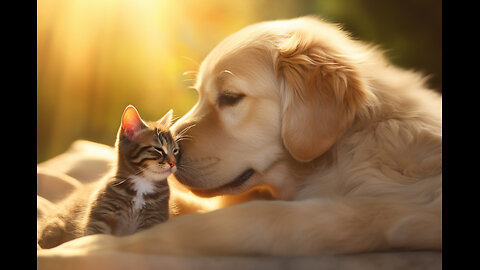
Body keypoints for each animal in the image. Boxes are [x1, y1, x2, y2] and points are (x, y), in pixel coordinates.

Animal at [38, 105, 181, 249]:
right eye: (158, 149)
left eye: (175, 150)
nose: (173, 163)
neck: (142, 183)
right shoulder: (100, 216)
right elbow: (94, 236)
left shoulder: (153, 219)